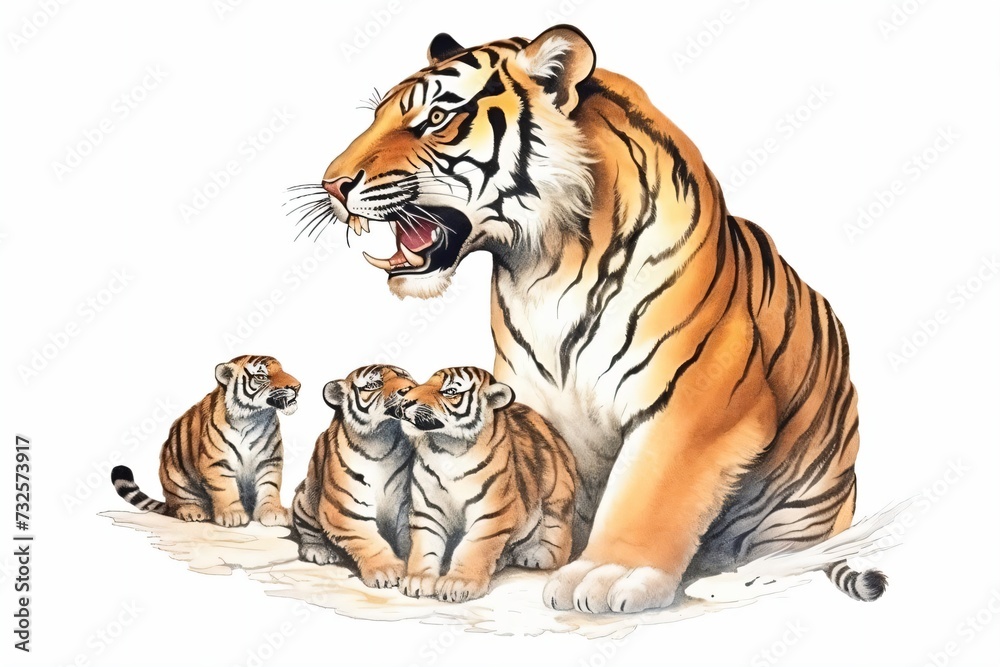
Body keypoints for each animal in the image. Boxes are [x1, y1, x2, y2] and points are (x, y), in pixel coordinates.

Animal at [111, 355, 299, 528]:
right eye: (261, 376)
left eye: (282, 370)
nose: (297, 386)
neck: (254, 417)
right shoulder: (217, 461)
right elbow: (225, 488)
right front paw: (233, 515)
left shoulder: (269, 460)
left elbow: (269, 486)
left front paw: (273, 512)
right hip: (175, 478)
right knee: (179, 504)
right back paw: (193, 511)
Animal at [290, 365, 417, 589]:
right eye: (374, 384)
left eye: (405, 377)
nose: (409, 390)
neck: (383, 439)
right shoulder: (345, 509)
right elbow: (369, 541)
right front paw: (387, 570)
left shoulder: (404, 506)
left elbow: (408, 538)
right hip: (304, 498)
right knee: (308, 531)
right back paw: (319, 551)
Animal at [392, 367, 576, 603]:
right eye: (424, 382)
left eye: (450, 391)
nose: (405, 401)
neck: (447, 448)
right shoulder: (427, 510)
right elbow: (425, 546)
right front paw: (419, 579)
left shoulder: (492, 512)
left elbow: (474, 547)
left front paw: (458, 583)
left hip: (557, 494)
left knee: (559, 536)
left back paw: (537, 554)